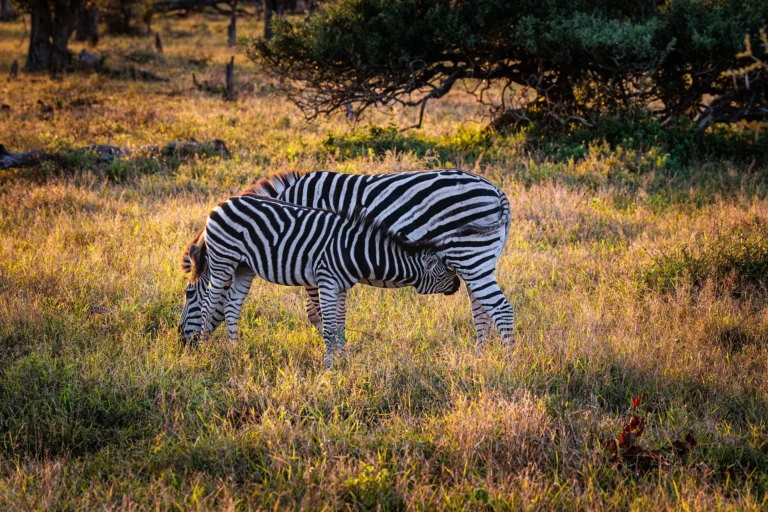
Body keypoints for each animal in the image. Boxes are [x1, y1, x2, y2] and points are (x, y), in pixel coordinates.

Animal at [179, 195, 461, 367]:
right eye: (444, 271)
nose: (458, 284)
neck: (357, 251)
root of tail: (221, 203)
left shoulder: (342, 287)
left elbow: (341, 325)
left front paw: (344, 359)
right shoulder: (326, 281)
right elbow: (329, 327)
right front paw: (330, 366)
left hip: (243, 267)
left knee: (231, 306)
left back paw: (235, 350)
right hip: (223, 261)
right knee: (209, 305)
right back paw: (205, 349)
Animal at [238, 169, 515, 349]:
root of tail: (495, 190)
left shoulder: (312, 258)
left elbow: (318, 312)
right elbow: (324, 313)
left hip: (470, 255)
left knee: (500, 309)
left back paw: (506, 362)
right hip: (477, 260)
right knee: (482, 308)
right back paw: (480, 357)